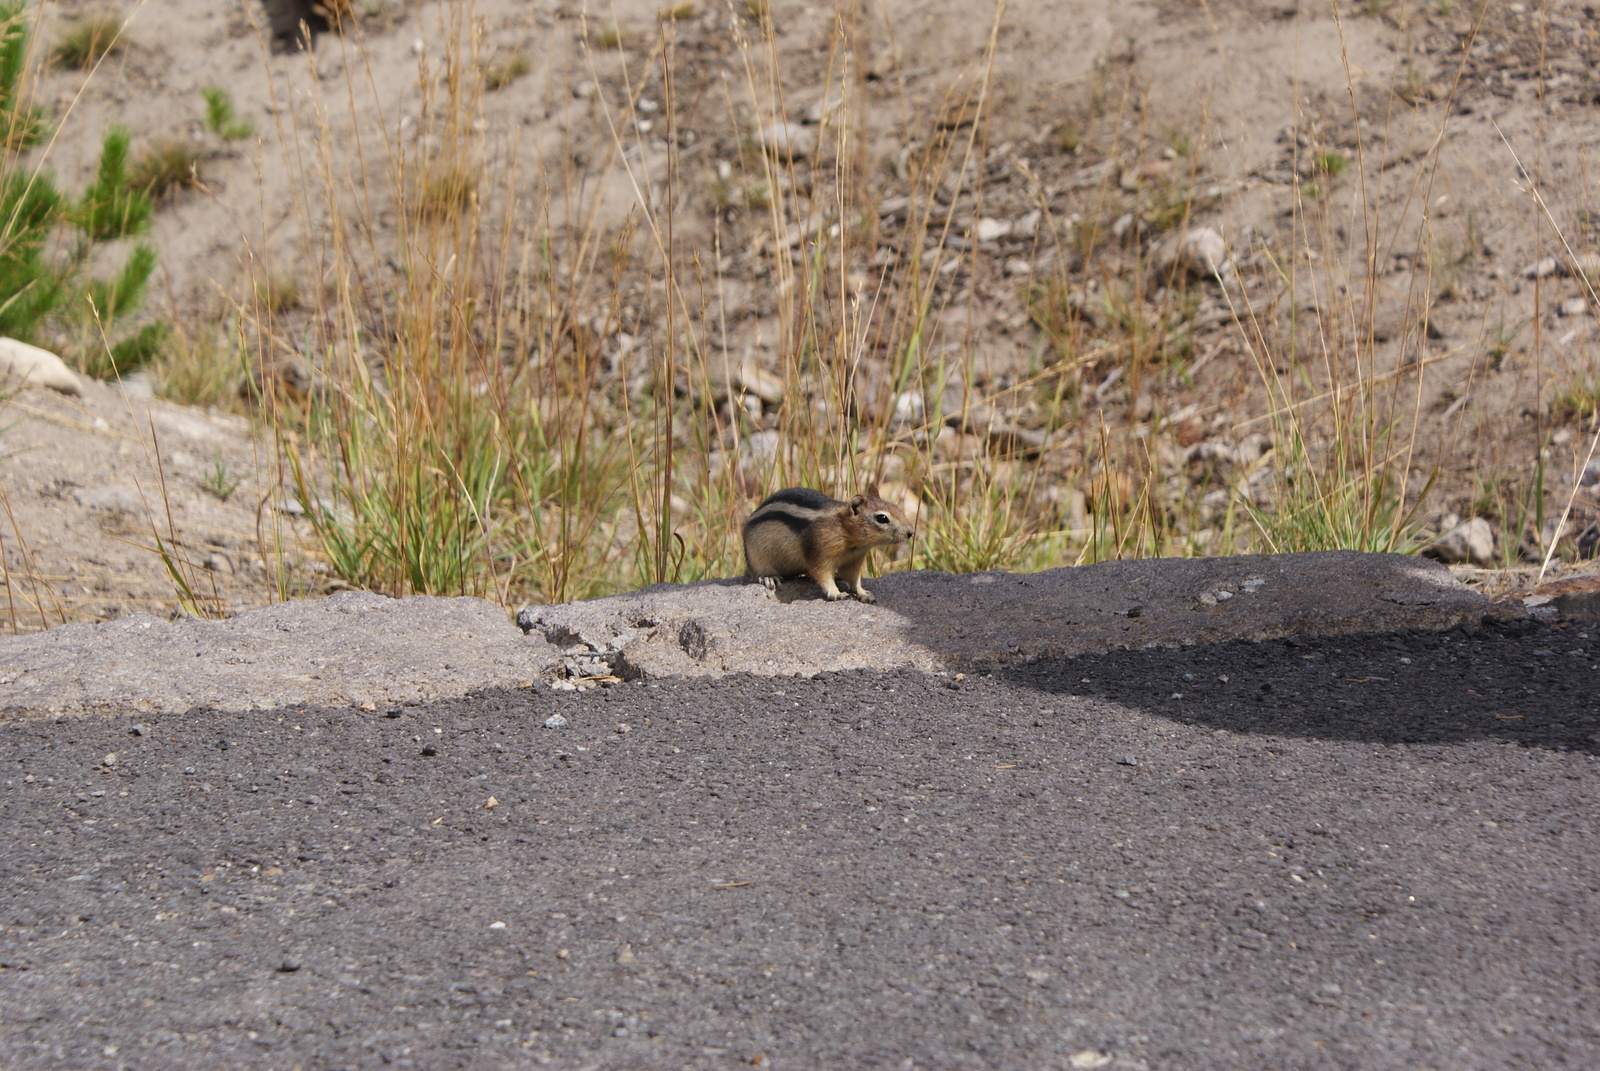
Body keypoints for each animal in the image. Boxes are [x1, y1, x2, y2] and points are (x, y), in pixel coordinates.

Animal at [739, 486, 915, 601]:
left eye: (898, 509)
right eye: (882, 518)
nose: (911, 532)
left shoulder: (854, 560)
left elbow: (854, 578)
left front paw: (863, 593)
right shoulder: (819, 552)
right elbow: (822, 574)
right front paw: (836, 593)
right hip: (757, 557)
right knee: (757, 573)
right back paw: (770, 578)